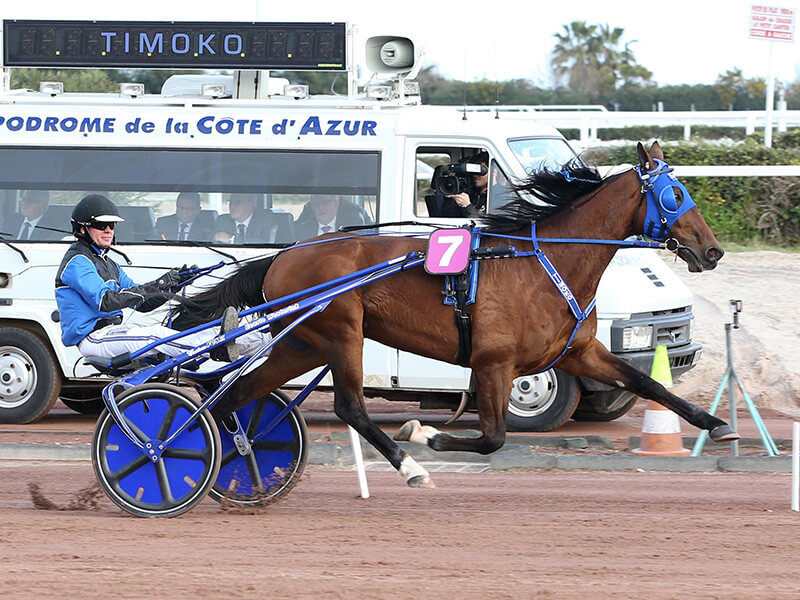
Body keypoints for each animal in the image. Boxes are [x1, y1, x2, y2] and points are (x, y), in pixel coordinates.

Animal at [173, 143, 736, 490]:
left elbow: (650, 384)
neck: (542, 261)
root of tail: (284, 255)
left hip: (302, 342)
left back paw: (232, 459)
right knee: (350, 406)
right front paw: (422, 434)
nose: (712, 251)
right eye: (675, 195)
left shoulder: (577, 351)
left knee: (238, 393)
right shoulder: (494, 363)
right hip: (340, 334)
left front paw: (718, 425)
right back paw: (410, 467)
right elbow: (492, 438)